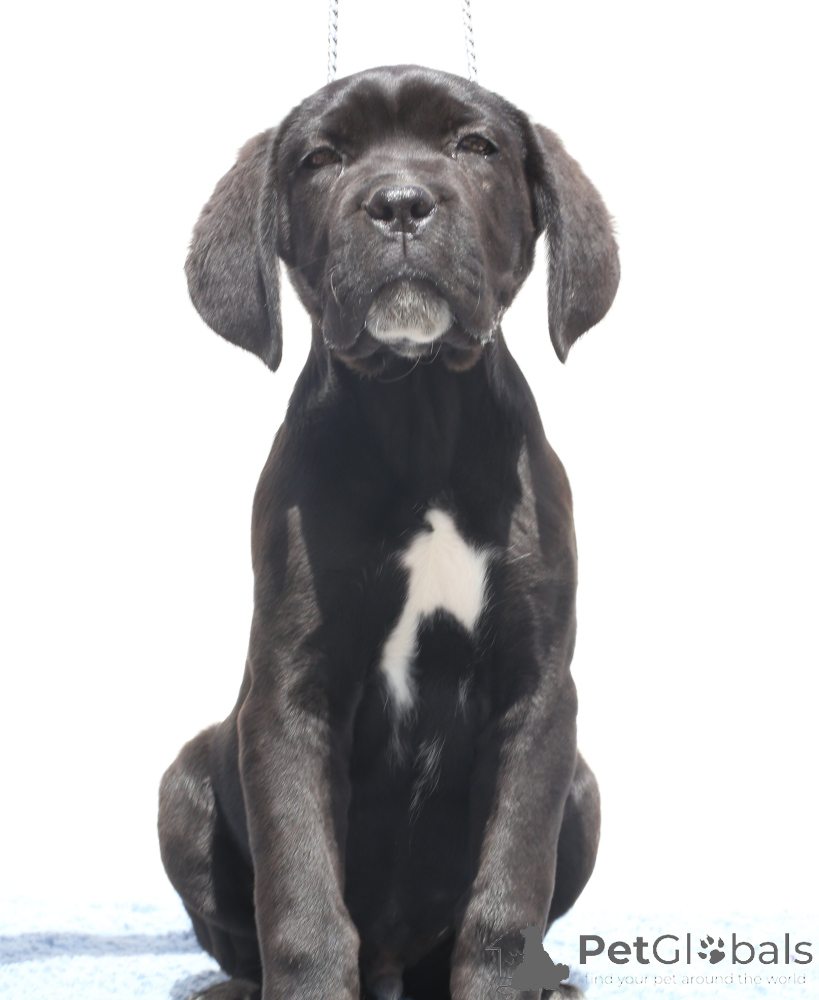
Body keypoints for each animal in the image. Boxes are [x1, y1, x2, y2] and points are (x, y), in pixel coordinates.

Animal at [158, 65, 619, 1000]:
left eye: (474, 147)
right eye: (321, 159)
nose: (400, 202)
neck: (419, 410)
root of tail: (396, 967)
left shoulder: (537, 692)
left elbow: (507, 890)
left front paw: (502, 983)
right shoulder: (291, 693)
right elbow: (300, 895)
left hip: (584, 790)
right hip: (180, 784)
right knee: (237, 931)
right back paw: (233, 985)